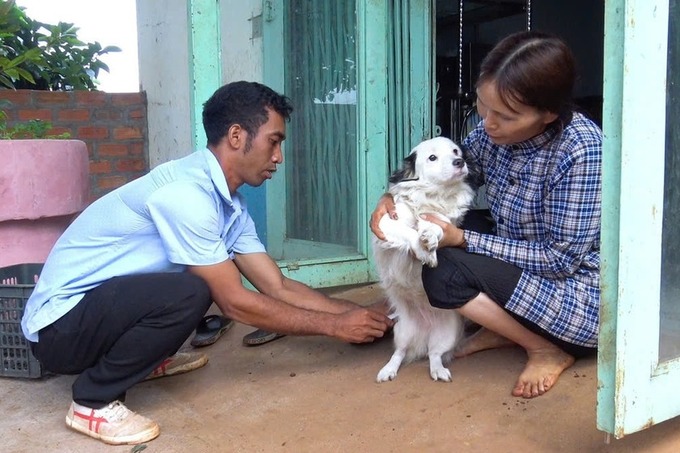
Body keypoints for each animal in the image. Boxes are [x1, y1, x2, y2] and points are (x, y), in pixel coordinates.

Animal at [372, 135, 472, 382]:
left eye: (456, 151)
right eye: (432, 157)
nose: (459, 162)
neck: (434, 196)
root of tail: (424, 335)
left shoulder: (443, 222)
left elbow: (435, 226)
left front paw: (430, 237)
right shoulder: (385, 224)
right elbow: (409, 233)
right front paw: (422, 249)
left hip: (447, 334)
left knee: (434, 355)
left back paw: (439, 370)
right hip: (401, 331)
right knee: (399, 353)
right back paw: (388, 370)